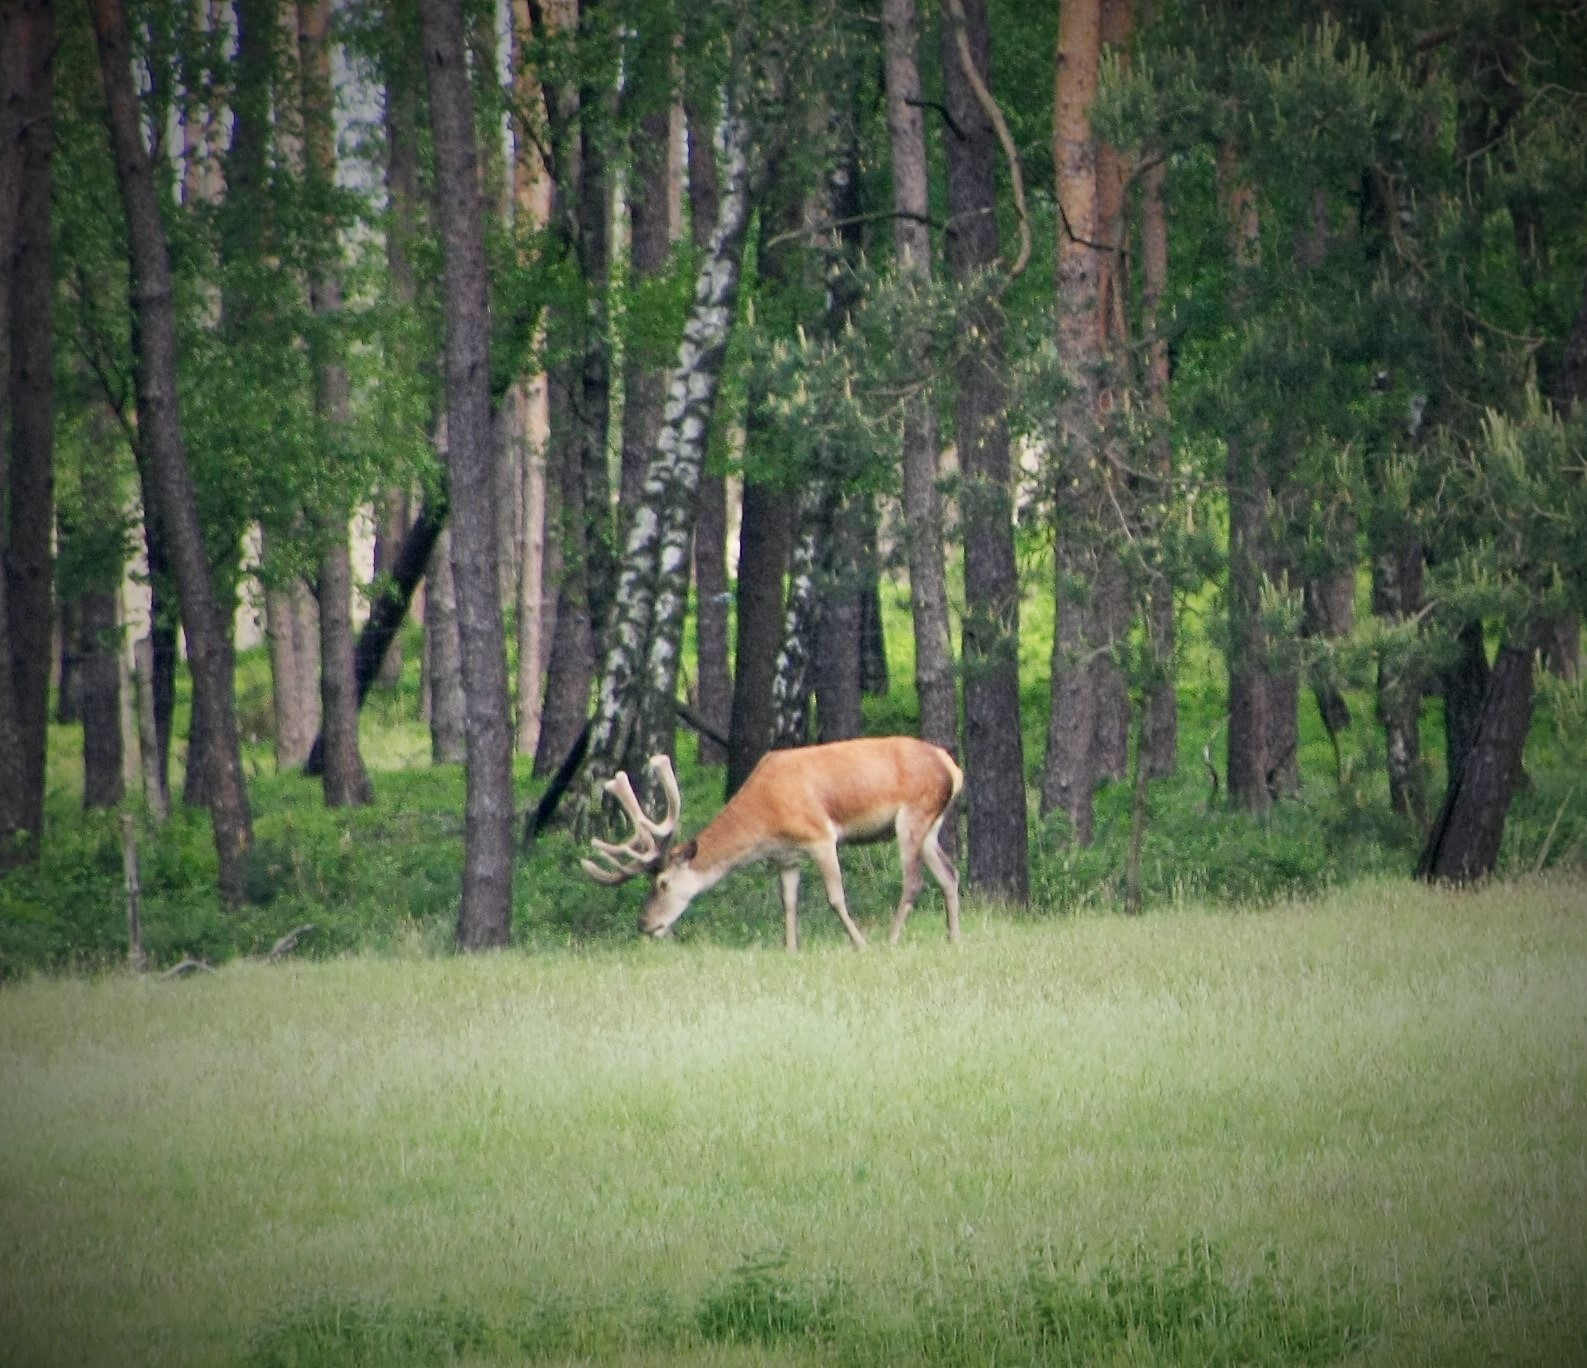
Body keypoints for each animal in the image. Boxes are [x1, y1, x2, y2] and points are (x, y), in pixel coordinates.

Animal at [581, 736, 963, 950]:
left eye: (662, 883)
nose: (645, 924)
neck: (766, 819)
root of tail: (952, 767)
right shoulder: (786, 857)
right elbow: (788, 903)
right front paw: (790, 949)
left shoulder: (820, 835)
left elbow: (835, 897)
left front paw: (860, 944)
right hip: (931, 824)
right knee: (950, 874)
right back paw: (952, 939)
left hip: (913, 813)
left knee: (913, 881)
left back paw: (891, 939)